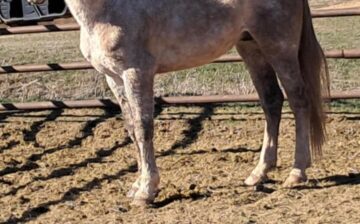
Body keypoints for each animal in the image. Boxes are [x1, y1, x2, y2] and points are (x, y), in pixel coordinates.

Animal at [30, 0, 330, 206]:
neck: (106, 8)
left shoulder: (136, 72)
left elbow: (144, 128)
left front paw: (146, 192)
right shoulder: (114, 78)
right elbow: (132, 131)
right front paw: (137, 185)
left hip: (278, 47)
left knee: (298, 100)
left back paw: (296, 173)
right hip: (250, 46)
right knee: (272, 101)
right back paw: (259, 173)